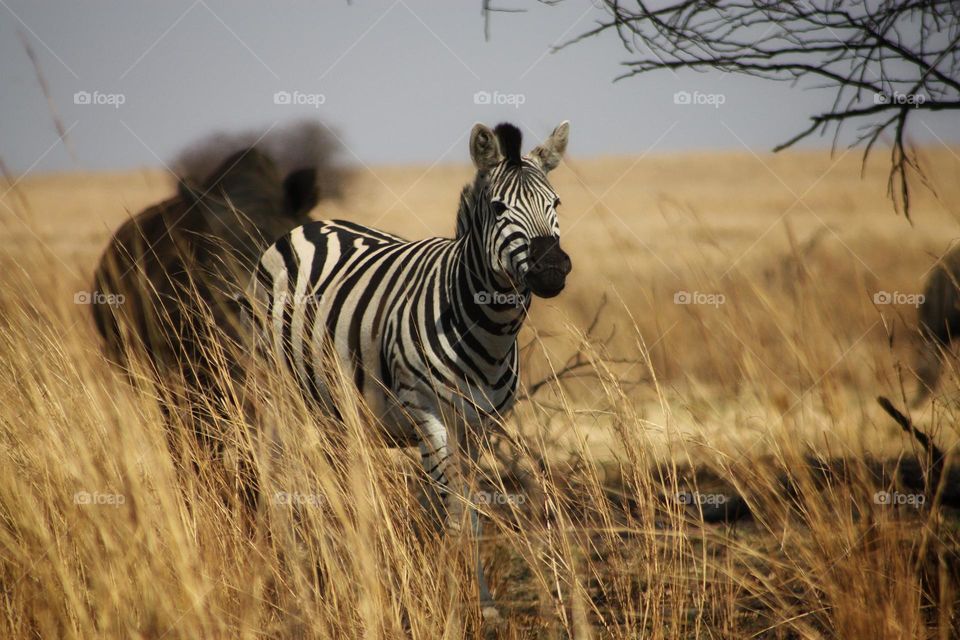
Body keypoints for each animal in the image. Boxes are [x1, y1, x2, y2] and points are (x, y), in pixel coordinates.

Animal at [251, 119, 572, 616]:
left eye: (555, 204)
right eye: (498, 208)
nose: (553, 269)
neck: (488, 329)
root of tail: (311, 225)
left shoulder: (480, 426)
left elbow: (471, 513)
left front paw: (483, 604)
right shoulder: (428, 413)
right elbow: (455, 516)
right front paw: (450, 604)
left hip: (337, 408)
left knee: (342, 490)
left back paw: (346, 567)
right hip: (278, 393)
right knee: (282, 478)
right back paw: (297, 570)